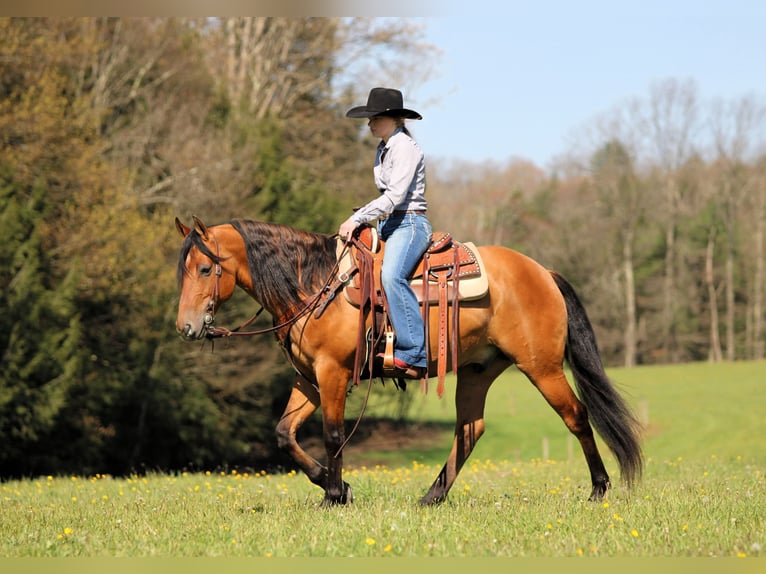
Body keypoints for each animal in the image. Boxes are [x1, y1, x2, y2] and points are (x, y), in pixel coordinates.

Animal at [175, 216, 643, 506]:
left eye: (205, 269)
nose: (186, 327)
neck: (314, 285)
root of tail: (543, 272)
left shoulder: (332, 373)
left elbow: (332, 435)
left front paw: (333, 496)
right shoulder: (308, 378)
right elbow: (284, 435)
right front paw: (337, 487)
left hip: (541, 367)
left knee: (576, 415)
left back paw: (599, 489)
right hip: (477, 370)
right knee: (470, 430)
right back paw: (432, 496)